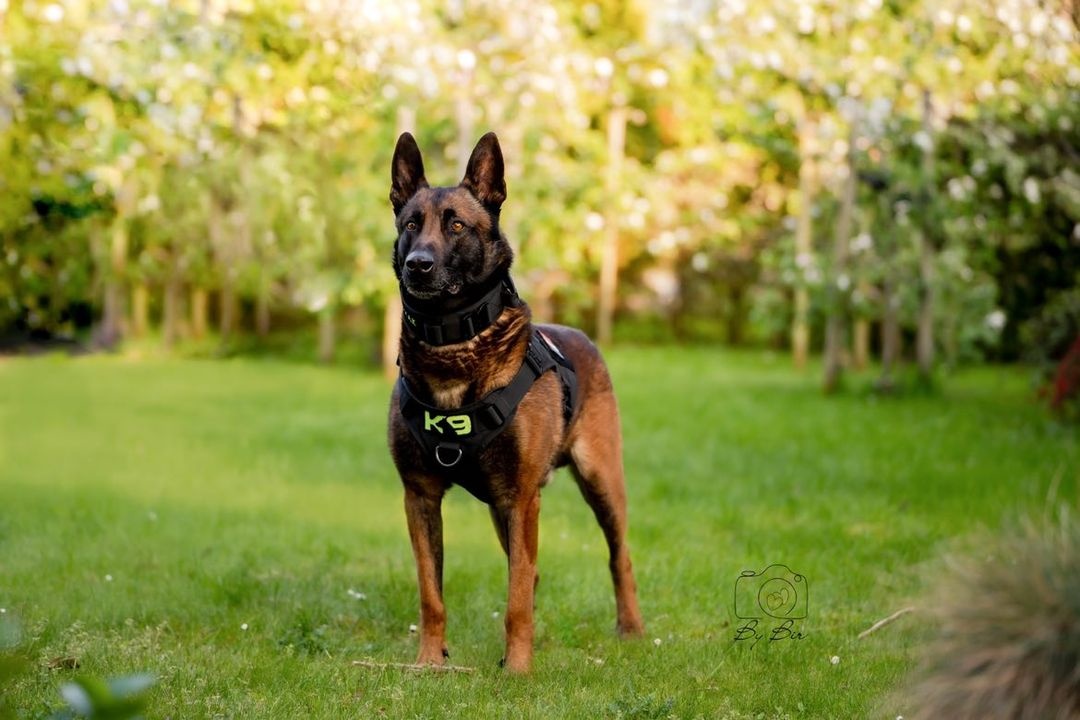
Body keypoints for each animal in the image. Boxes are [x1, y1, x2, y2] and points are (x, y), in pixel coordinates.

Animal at [386, 131, 639, 677]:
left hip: (599, 482)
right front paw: (429, 662)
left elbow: (517, 595)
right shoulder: (420, 496)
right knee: (533, 573)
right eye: (411, 224)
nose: (418, 265)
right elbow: (432, 593)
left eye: (457, 225)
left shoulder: (522, 498)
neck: (453, 345)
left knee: (618, 556)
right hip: (502, 510)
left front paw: (519, 670)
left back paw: (631, 629)